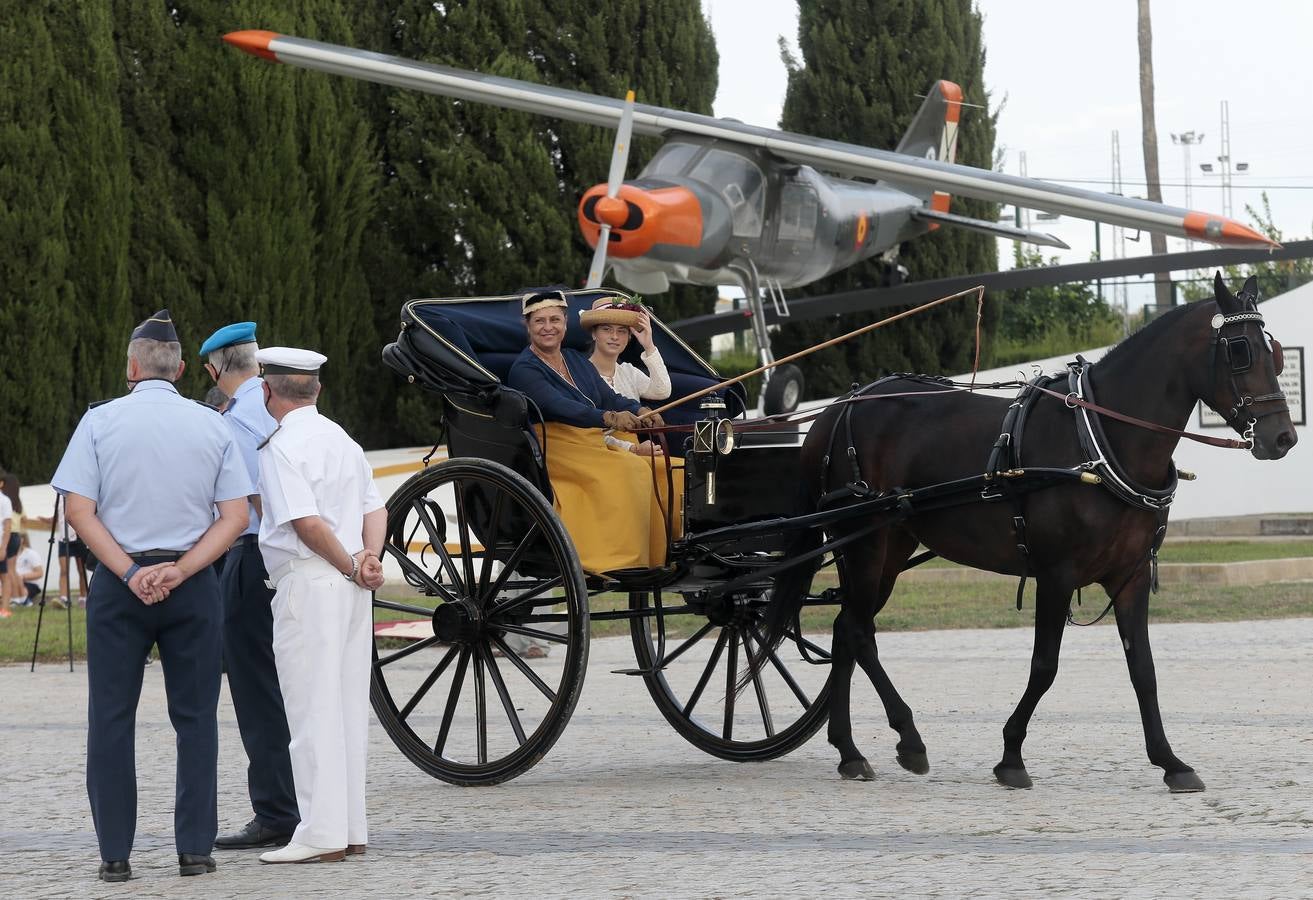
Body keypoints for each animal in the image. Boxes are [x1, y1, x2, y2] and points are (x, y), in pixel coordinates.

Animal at [766, 271, 1297, 788]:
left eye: (1275, 351)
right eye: (1240, 350)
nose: (1282, 438)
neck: (1099, 441)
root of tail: (836, 409)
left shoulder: (1130, 577)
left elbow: (1143, 670)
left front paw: (1171, 761)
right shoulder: (1056, 576)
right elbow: (1045, 666)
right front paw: (1011, 755)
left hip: (890, 546)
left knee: (844, 629)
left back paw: (849, 751)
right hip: (866, 542)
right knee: (858, 630)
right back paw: (907, 738)